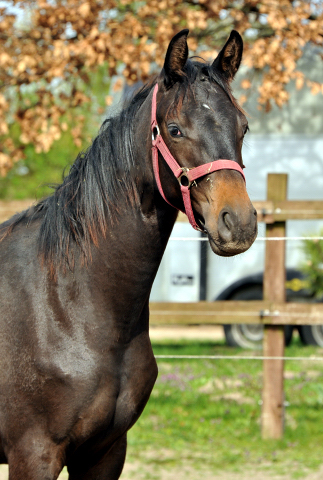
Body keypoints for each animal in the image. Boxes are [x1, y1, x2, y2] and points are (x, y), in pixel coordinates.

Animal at [0, 30, 258, 480]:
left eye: (242, 127)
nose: (238, 222)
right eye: (174, 129)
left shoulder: (105, 452)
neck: (65, 304)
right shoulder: (33, 453)